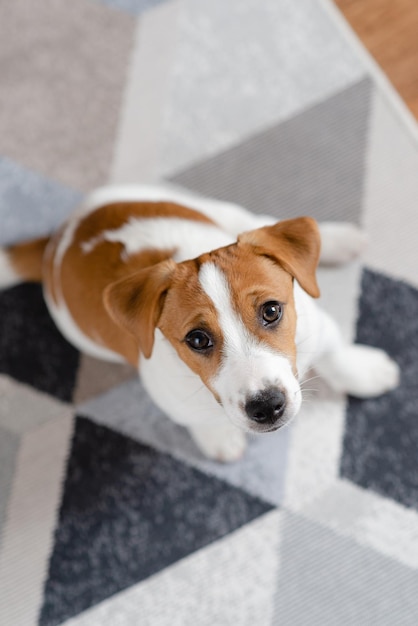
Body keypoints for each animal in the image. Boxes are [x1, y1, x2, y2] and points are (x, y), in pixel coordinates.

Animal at [0, 184, 398, 458]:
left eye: (271, 311)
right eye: (197, 339)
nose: (267, 407)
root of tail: (59, 238)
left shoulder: (317, 327)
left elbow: (337, 356)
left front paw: (366, 372)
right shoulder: (172, 397)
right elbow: (198, 419)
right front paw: (219, 439)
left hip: (205, 206)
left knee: (256, 223)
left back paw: (338, 240)